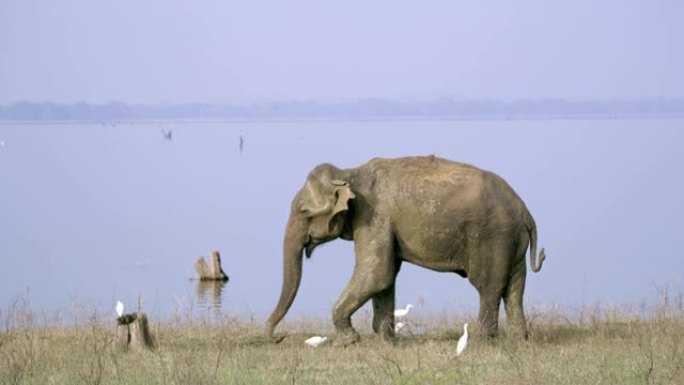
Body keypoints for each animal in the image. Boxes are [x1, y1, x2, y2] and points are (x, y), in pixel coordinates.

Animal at [264, 154, 544, 344]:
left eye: (303, 211)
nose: (276, 337)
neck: (349, 172)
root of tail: (526, 212)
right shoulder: (381, 224)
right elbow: (385, 278)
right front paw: (385, 340)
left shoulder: (373, 217)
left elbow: (376, 273)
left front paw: (349, 341)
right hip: (512, 241)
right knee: (514, 288)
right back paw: (519, 340)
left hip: (492, 237)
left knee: (488, 286)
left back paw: (480, 340)